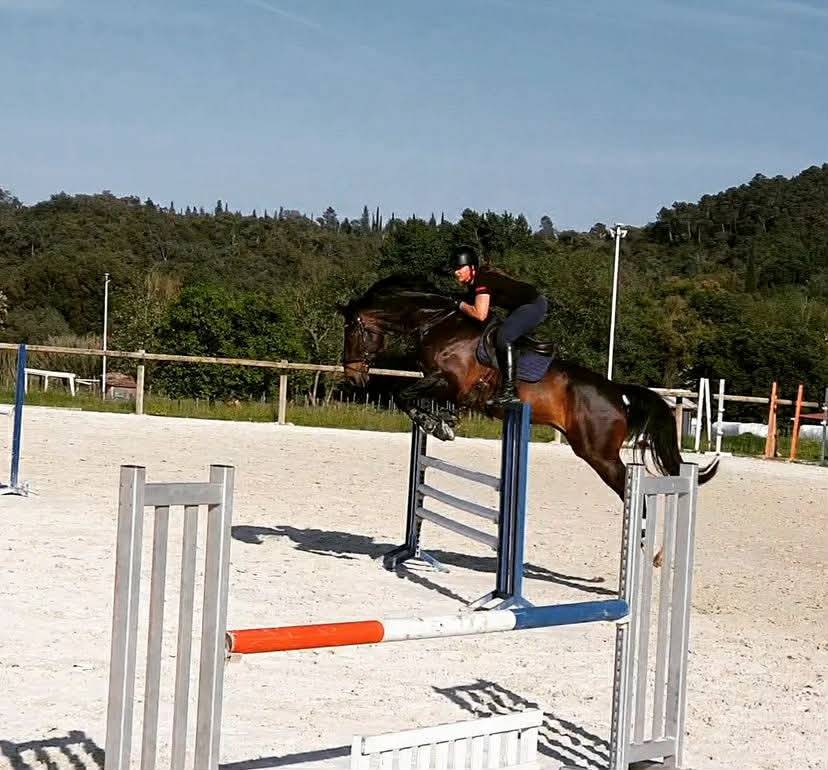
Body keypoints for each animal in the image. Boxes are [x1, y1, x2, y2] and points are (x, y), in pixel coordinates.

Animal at [337, 276, 718, 562]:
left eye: (352, 332)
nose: (354, 377)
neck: (438, 323)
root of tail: (616, 392)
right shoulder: (442, 385)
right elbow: (414, 398)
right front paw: (442, 421)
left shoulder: (449, 382)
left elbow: (403, 395)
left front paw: (436, 424)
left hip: (599, 454)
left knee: (631, 491)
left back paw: (646, 547)